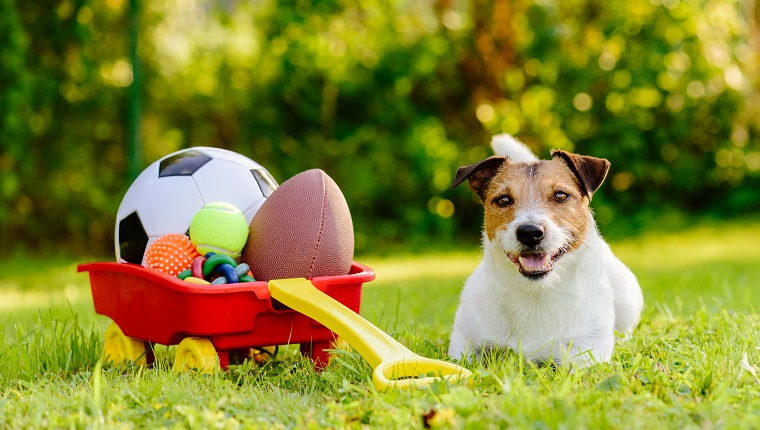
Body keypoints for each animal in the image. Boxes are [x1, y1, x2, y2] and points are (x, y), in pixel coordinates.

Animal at [448, 134, 644, 366]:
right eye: (503, 200)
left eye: (560, 196)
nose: (529, 232)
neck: (537, 293)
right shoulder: (464, 342)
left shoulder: (589, 349)